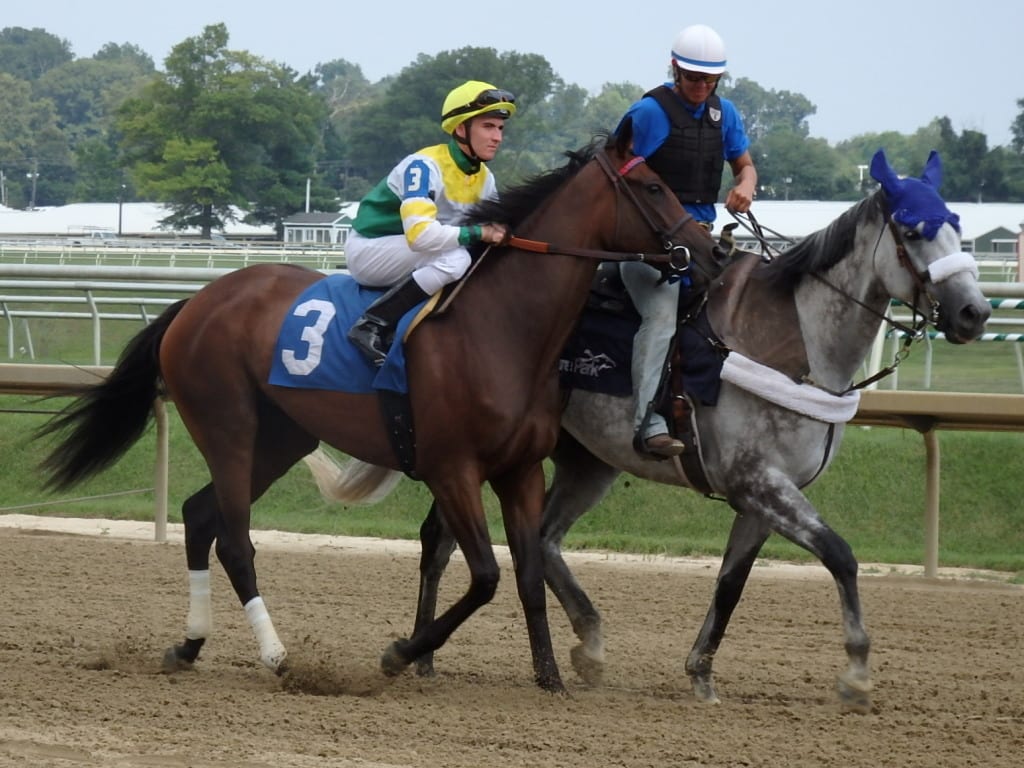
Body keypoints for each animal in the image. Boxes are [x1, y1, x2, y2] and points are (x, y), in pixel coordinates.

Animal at [34, 129, 720, 696]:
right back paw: (277, 656)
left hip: (280, 437)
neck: (504, 329)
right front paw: (399, 654)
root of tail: (196, 301)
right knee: (233, 538)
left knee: (200, 517)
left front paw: (550, 677)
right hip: (227, 426)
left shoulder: (520, 470)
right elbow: (485, 576)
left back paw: (189, 645)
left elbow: (527, 573)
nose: (710, 254)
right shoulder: (451, 468)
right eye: (653, 186)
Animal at [305, 147, 991, 712]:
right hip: (498, 453)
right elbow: (842, 557)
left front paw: (701, 672)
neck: (792, 343)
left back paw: (582, 643)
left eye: (959, 225)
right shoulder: (758, 481)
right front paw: (855, 675)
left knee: (541, 540)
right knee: (451, 540)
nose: (974, 313)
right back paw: (429, 656)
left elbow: (732, 583)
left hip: (586, 461)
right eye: (913, 231)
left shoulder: (764, 495)